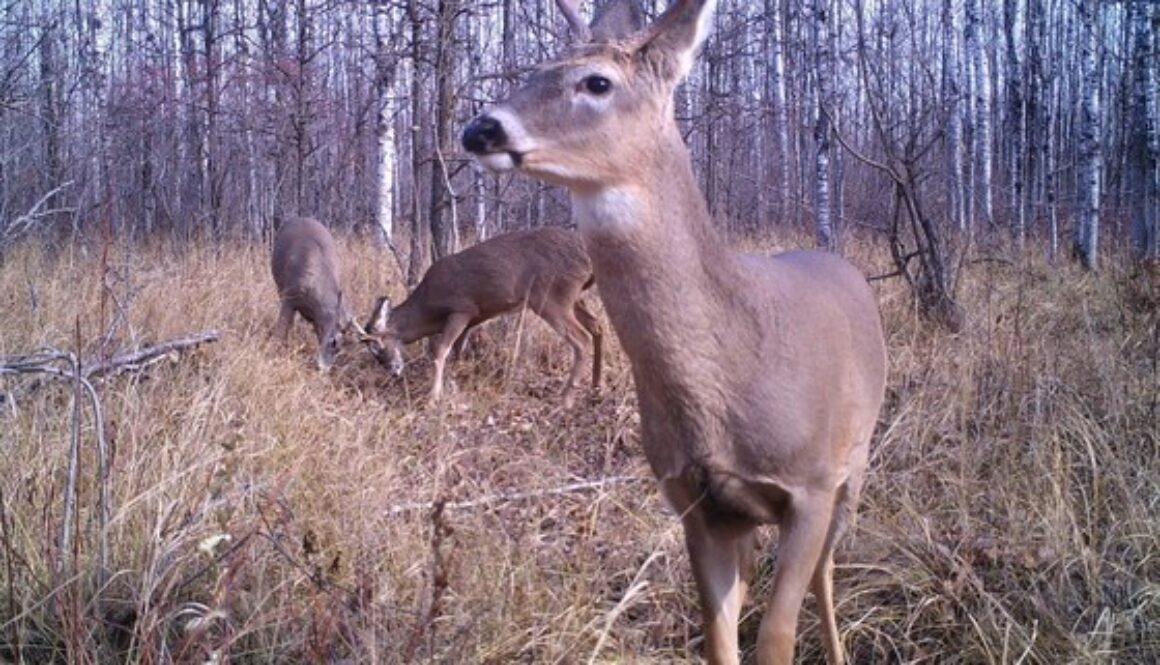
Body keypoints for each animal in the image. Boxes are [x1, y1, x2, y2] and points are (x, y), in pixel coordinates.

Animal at [270, 216, 353, 371]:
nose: (323, 368)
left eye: (339, 349)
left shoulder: (317, 317)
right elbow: (281, 331)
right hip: (279, 287)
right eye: (333, 342)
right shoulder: (289, 298)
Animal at [361, 226, 603, 407]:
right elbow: (457, 353)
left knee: (581, 338)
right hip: (575, 296)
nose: (394, 372)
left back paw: (566, 399)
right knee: (597, 326)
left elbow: (441, 350)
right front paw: (453, 384)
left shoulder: (462, 309)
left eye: (378, 347)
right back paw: (596, 388)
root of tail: (589, 259)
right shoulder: (472, 319)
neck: (428, 307)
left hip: (551, 296)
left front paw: (433, 397)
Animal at [461, 2, 887, 664]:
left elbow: (777, 636)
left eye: (597, 82)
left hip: (858, 458)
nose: (480, 130)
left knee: (828, 568)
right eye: (534, 69)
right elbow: (719, 636)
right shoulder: (694, 502)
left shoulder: (811, 483)